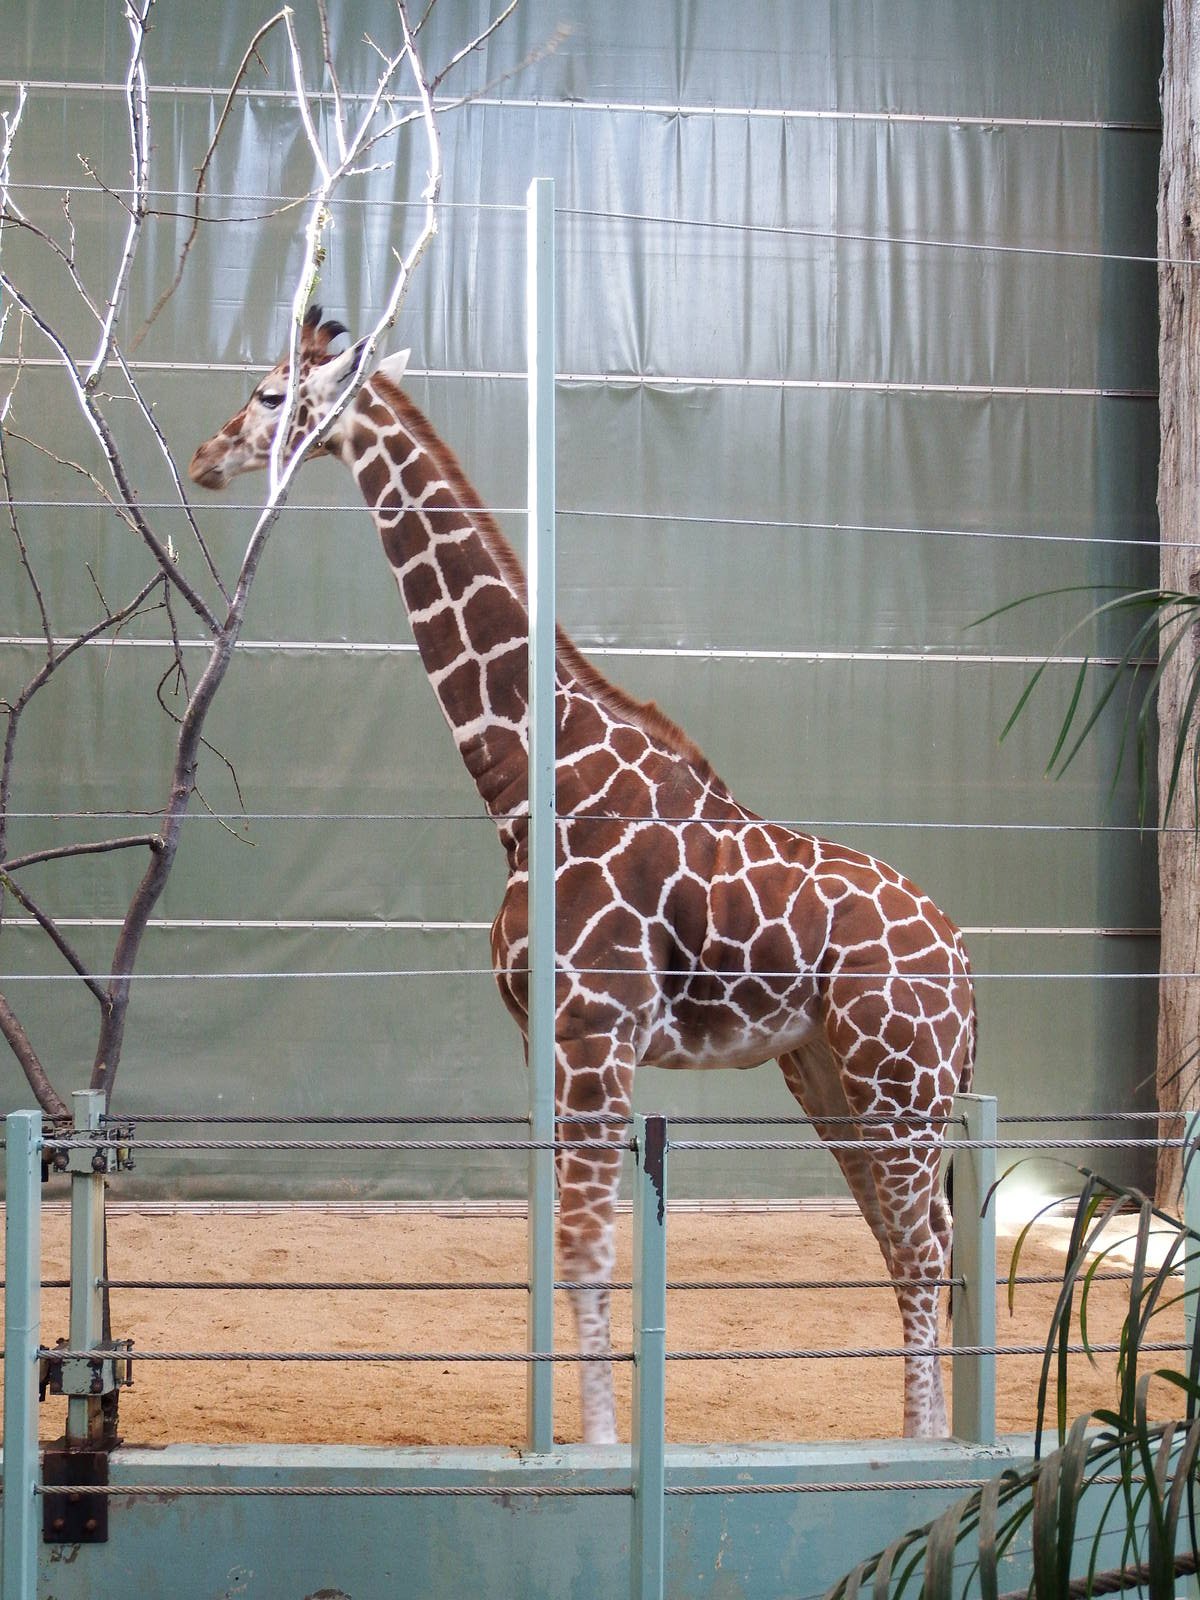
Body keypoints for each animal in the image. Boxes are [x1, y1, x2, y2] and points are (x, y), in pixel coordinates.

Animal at [189, 308, 977, 1445]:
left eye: (267, 392)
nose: (207, 457)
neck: (531, 787)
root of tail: (965, 961)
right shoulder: (540, 1038)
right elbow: (552, 1242)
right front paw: (560, 1437)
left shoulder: (595, 1033)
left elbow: (587, 1249)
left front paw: (602, 1447)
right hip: (830, 1071)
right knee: (912, 1234)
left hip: (899, 1078)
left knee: (923, 1243)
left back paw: (927, 1449)